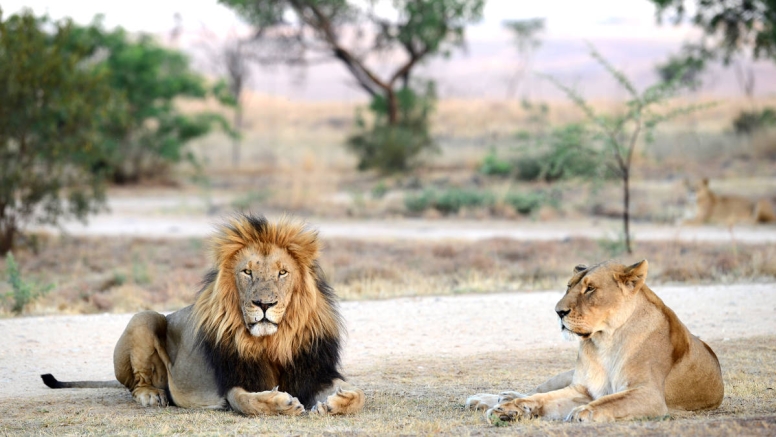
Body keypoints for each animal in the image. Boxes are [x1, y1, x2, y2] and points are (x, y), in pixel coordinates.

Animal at [42, 215, 366, 416]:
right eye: (247, 272)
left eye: (282, 272)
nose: (264, 304)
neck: (274, 341)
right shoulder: (233, 383)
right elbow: (248, 402)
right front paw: (281, 403)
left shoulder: (314, 371)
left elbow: (360, 395)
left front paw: (340, 400)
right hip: (144, 317)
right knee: (135, 383)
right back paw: (151, 394)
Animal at [464, 258, 724, 422]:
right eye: (568, 286)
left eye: (590, 289)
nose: (558, 312)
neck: (605, 341)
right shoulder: (580, 387)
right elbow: (541, 397)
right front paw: (509, 409)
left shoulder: (649, 394)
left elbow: (610, 401)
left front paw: (584, 412)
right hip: (565, 375)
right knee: (533, 389)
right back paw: (491, 398)